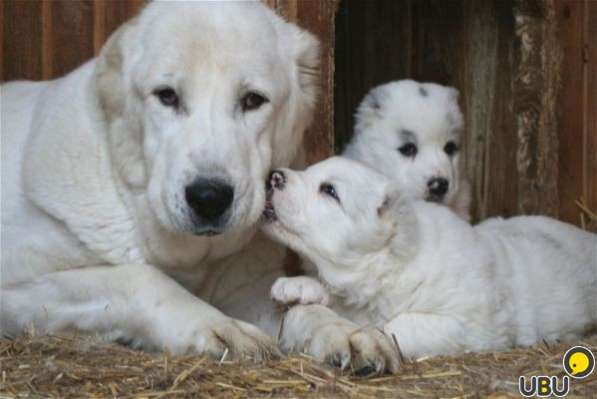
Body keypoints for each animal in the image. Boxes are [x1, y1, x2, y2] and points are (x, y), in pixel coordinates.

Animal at [0, 0, 326, 360]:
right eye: (167, 96)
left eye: (253, 100)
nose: (209, 198)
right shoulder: (15, 282)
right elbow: (138, 277)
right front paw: (217, 324)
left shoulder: (247, 288)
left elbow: (297, 309)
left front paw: (337, 329)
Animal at [266, 159, 596, 368]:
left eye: (329, 190)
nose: (273, 177)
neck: (386, 266)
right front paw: (300, 287)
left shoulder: (469, 326)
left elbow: (396, 324)